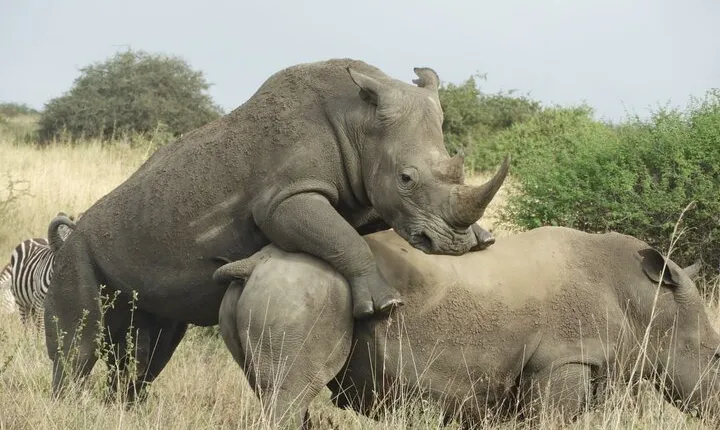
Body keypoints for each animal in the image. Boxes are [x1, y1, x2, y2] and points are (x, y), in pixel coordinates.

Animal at [43, 58, 510, 402]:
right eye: (406, 179)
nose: (449, 244)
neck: (359, 123)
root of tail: (70, 235)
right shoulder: (284, 198)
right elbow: (341, 238)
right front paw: (383, 304)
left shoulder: (360, 197)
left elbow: (351, 230)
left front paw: (482, 238)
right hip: (76, 254)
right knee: (77, 343)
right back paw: (66, 405)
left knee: (149, 347)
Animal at [215, 227, 720, 429]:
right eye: (717, 356)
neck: (644, 300)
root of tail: (256, 261)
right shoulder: (564, 358)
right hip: (304, 287)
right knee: (289, 392)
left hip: (279, 287)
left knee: (275, 391)